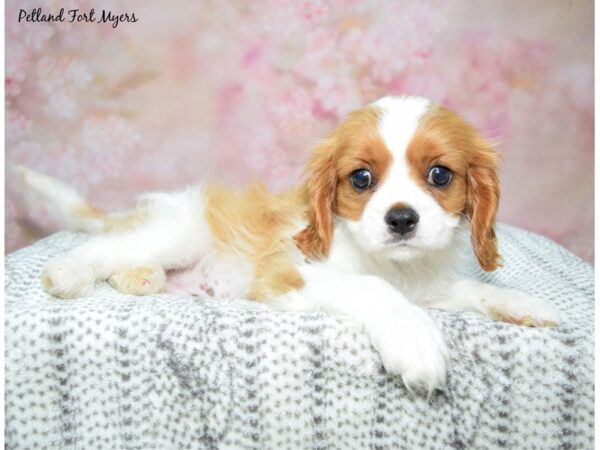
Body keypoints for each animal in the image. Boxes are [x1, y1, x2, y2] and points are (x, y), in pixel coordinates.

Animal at [18, 96, 556, 394]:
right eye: (361, 179)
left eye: (440, 175)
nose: (402, 219)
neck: (393, 264)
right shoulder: (293, 273)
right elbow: (373, 290)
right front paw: (413, 341)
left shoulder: (429, 285)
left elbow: (471, 290)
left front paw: (520, 303)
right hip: (178, 233)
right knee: (105, 250)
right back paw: (68, 273)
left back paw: (144, 279)